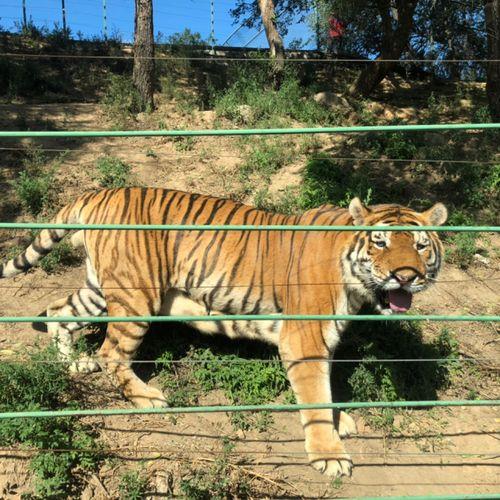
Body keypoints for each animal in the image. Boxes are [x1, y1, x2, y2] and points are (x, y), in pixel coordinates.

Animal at [0, 188, 448, 480]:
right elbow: (316, 396)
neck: (355, 283)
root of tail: (102, 191)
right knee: (112, 352)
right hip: (135, 296)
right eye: (380, 242)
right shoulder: (305, 339)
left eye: (421, 246)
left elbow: (326, 389)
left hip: (102, 289)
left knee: (59, 312)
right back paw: (146, 397)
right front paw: (330, 455)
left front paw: (341, 423)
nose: (405, 277)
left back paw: (72, 365)